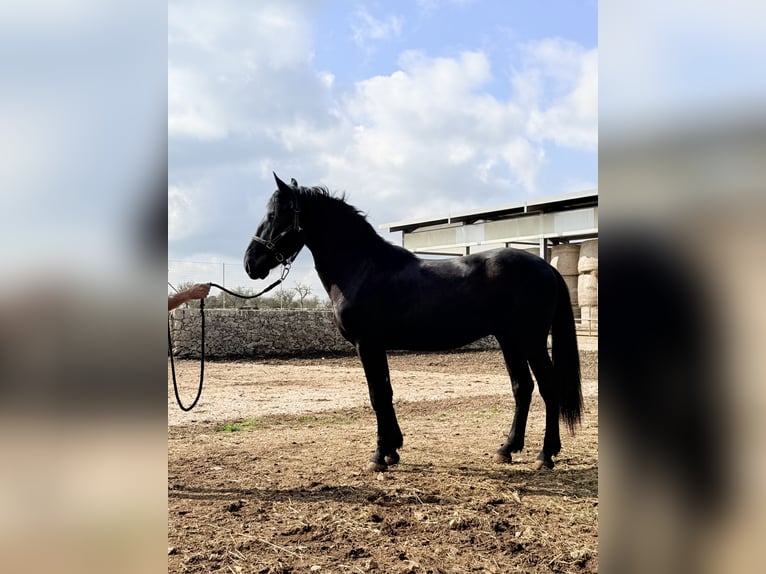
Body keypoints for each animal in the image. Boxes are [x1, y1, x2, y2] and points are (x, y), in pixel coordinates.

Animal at [244, 173, 583, 472]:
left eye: (274, 215)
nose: (250, 263)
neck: (363, 268)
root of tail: (545, 267)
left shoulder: (367, 344)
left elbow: (377, 395)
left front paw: (379, 457)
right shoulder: (376, 346)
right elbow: (386, 392)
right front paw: (392, 450)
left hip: (531, 341)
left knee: (548, 387)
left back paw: (545, 455)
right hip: (509, 340)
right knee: (522, 387)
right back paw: (507, 449)